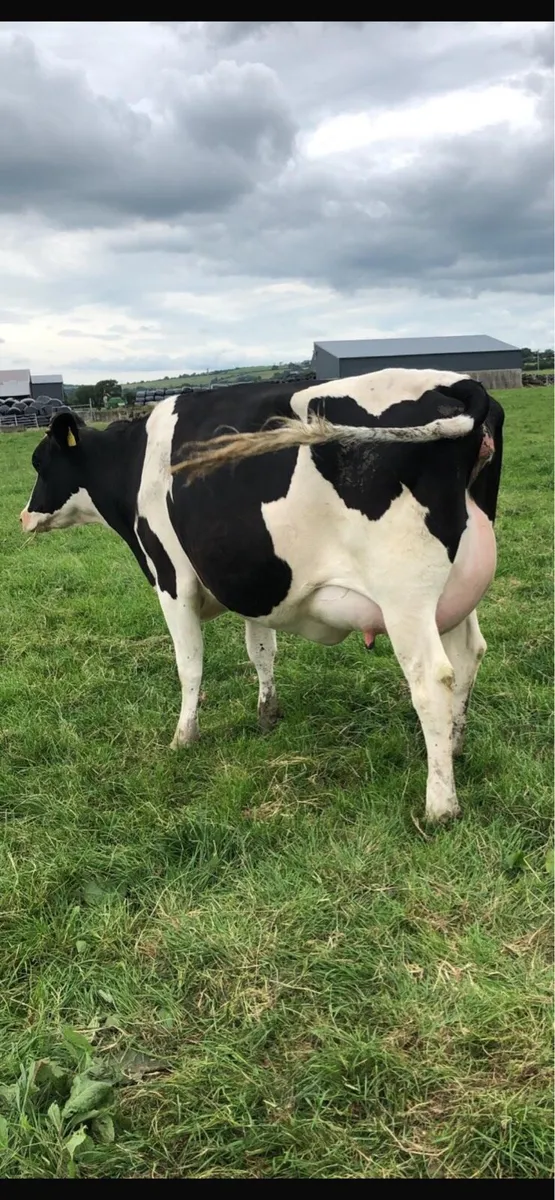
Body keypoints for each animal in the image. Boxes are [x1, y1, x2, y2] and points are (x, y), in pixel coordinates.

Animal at [20, 369, 504, 823]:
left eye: (39, 462)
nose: (24, 516)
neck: (133, 464)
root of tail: (456, 383)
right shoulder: (254, 582)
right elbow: (261, 650)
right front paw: (267, 713)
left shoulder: (172, 577)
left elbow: (189, 664)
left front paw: (183, 736)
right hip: (456, 590)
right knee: (468, 656)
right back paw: (455, 747)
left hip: (405, 596)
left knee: (432, 680)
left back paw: (440, 804)